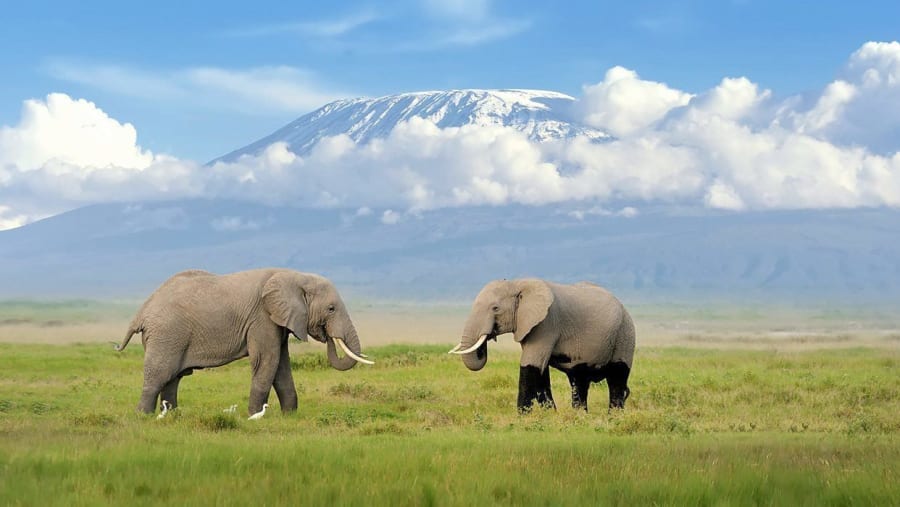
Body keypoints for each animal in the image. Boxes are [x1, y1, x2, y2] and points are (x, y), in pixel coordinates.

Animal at [115, 268, 373, 415]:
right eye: (331, 309)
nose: (326, 334)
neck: (295, 276)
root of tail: (142, 311)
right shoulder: (262, 318)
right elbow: (267, 361)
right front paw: (255, 416)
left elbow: (281, 365)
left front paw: (290, 416)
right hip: (166, 335)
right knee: (160, 374)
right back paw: (144, 416)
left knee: (173, 378)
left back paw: (173, 414)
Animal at [449, 279, 635, 413]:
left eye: (495, 308)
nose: (488, 338)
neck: (517, 283)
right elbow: (540, 371)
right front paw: (550, 414)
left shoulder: (546, 324)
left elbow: (530, 366)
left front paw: (523, 417)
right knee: (579, 380)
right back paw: (580, 416)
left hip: (625, 334)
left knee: (617, 377)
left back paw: (614, 417)